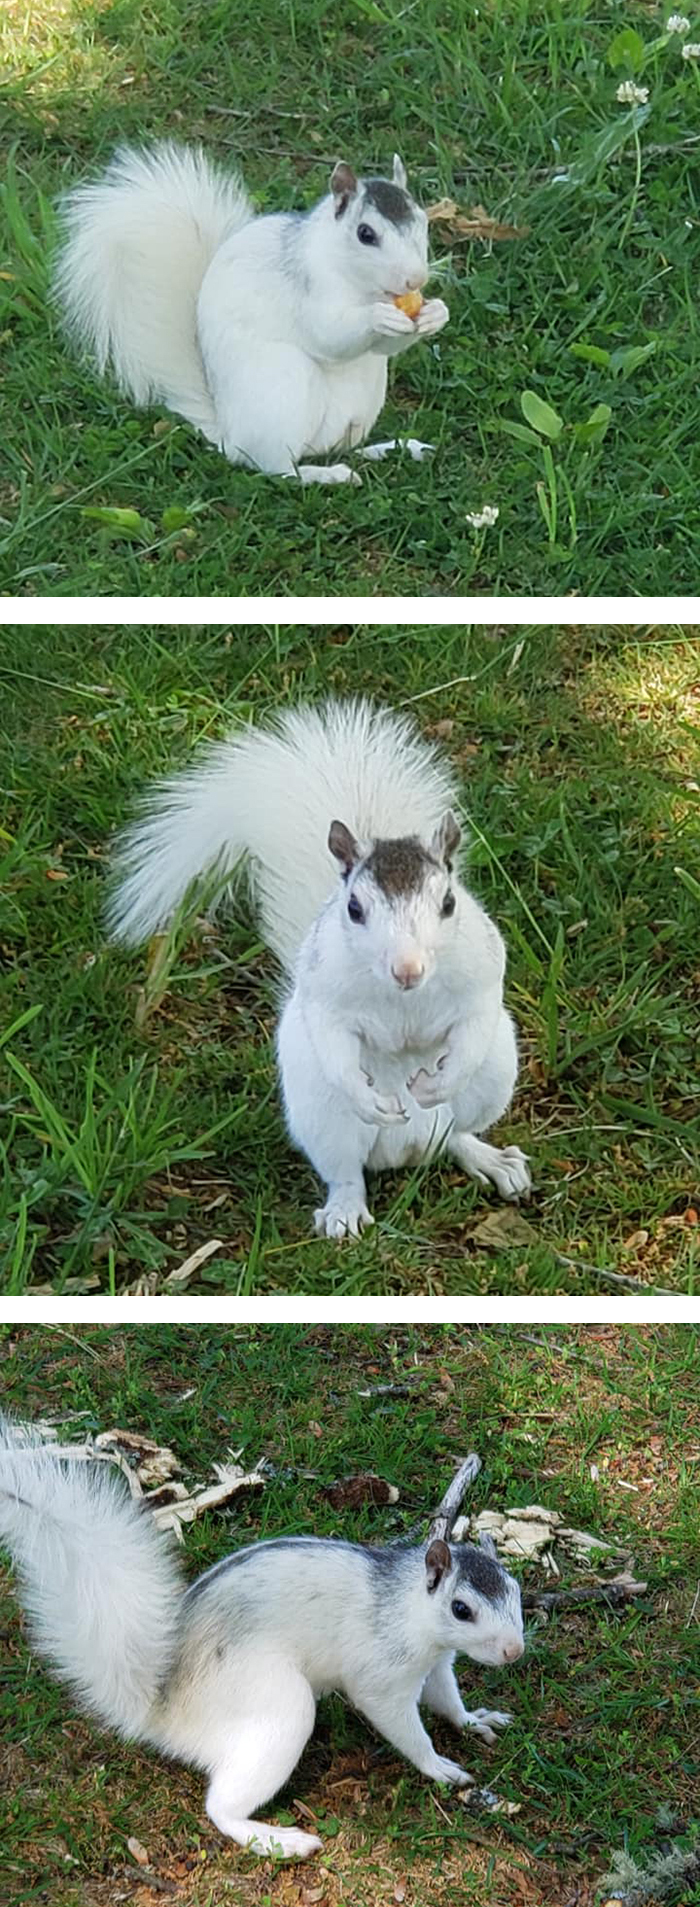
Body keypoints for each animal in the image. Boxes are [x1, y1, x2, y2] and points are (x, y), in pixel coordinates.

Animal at [0, 1434, 526, 1861]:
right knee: (219, 1808)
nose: (514, 1653)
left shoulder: (435, 1664)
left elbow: (447, 1699)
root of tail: (161, 1715)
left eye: (516, 1590)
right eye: (461, 1609)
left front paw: (474, 1720)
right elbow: (401, 1724)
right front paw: (438, 1766)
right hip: (279, 1709)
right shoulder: (382, 1674)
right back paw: (277, 1841)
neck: (413, 1611)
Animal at [53, 142, 450, 484]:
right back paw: (326, 475)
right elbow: (329, 334)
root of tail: (229, 435)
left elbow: (386, 346)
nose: (416, 278)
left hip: (363, 404)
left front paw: (436, 313)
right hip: (283, 391)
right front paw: (377, 317)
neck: (361, 285)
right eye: (365, 234)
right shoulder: (308, 291)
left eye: (423, 221)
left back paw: (392, 449)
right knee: (279, 468)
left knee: (340, 448)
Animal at [108, 697, 530, 1235]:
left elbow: (473, 1030)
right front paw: (371, 1097)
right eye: (353, 908)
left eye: (450, 903)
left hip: (493, 1081)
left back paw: (491, 1159)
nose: (408, 969)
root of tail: (409, 1148)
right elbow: (336, 1049)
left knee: (459, 1134)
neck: (402, 997)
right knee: (345, 1171)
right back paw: (346, 1210)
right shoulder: (325, 1001)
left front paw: (439, 1080)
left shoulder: (482, 983)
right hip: (324, 1117)